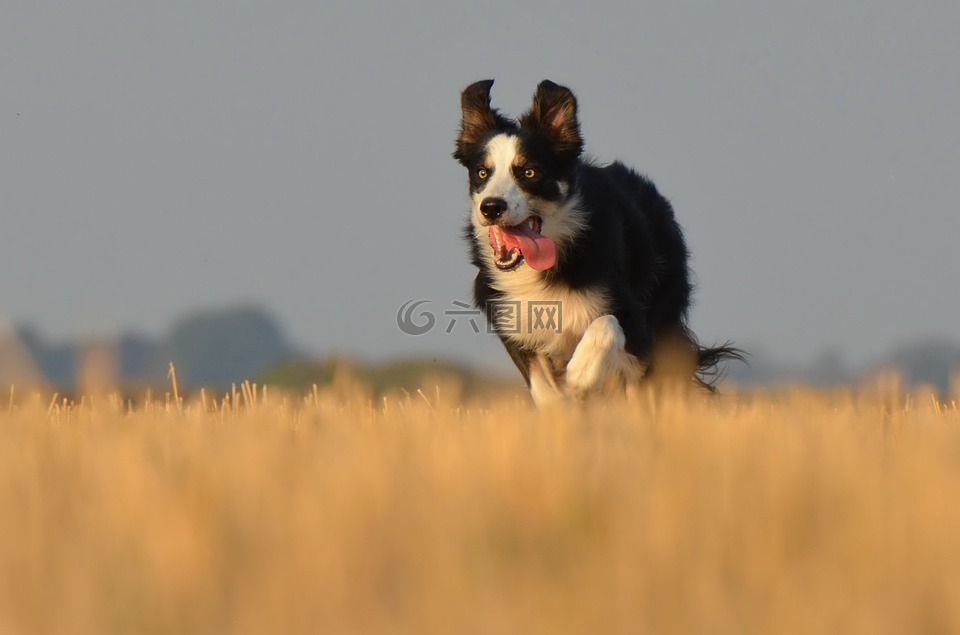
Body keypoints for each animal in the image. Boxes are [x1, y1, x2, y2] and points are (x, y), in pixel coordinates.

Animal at [454, 79, 740, 404]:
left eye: (529, 172)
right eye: (482, 173)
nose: (490, 208)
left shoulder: (635, 323)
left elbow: (605, 325)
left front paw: (580, 374)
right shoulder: (514, 322)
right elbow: (544, 389)